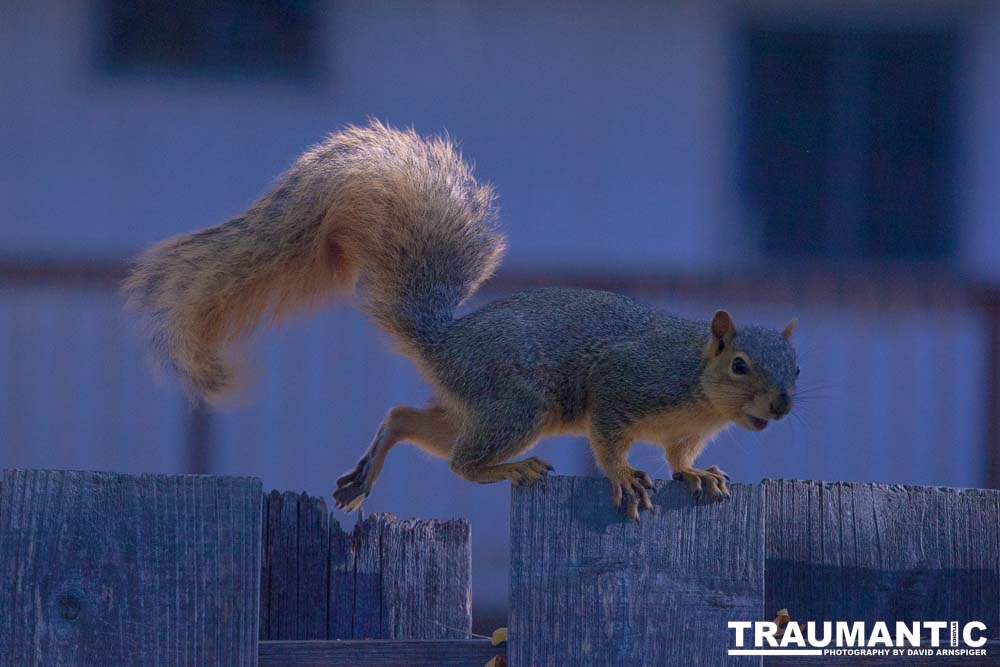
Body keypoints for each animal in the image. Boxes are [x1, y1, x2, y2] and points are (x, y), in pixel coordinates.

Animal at [123, 121, 796, 520]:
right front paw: (626, 477)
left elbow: (679, 458)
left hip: (474, 405)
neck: (696, 386)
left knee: (407, 418)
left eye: (796, 366)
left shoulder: (684, 429)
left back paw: (366, 471)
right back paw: (514, 467)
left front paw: (699, 475)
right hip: (517, 405)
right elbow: (608, 439)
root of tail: (443, 340)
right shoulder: (625, 382)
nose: (783, 405)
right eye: (740, 365)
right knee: (461, 465)